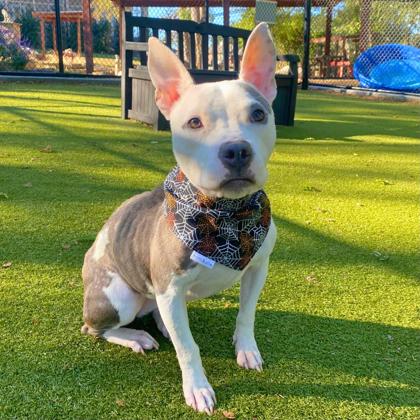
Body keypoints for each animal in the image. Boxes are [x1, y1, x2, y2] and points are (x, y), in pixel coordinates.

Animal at [82, 22, 278, 414]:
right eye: (194, 122)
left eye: (258, 114)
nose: (236, 149)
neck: (227, 216)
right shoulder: (170, 290)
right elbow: (189, 348)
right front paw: (198, 388)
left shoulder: (257, 269)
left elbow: (246, 313)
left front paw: (246, 348)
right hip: (120, 298)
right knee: (98, 329)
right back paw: (136, 336)